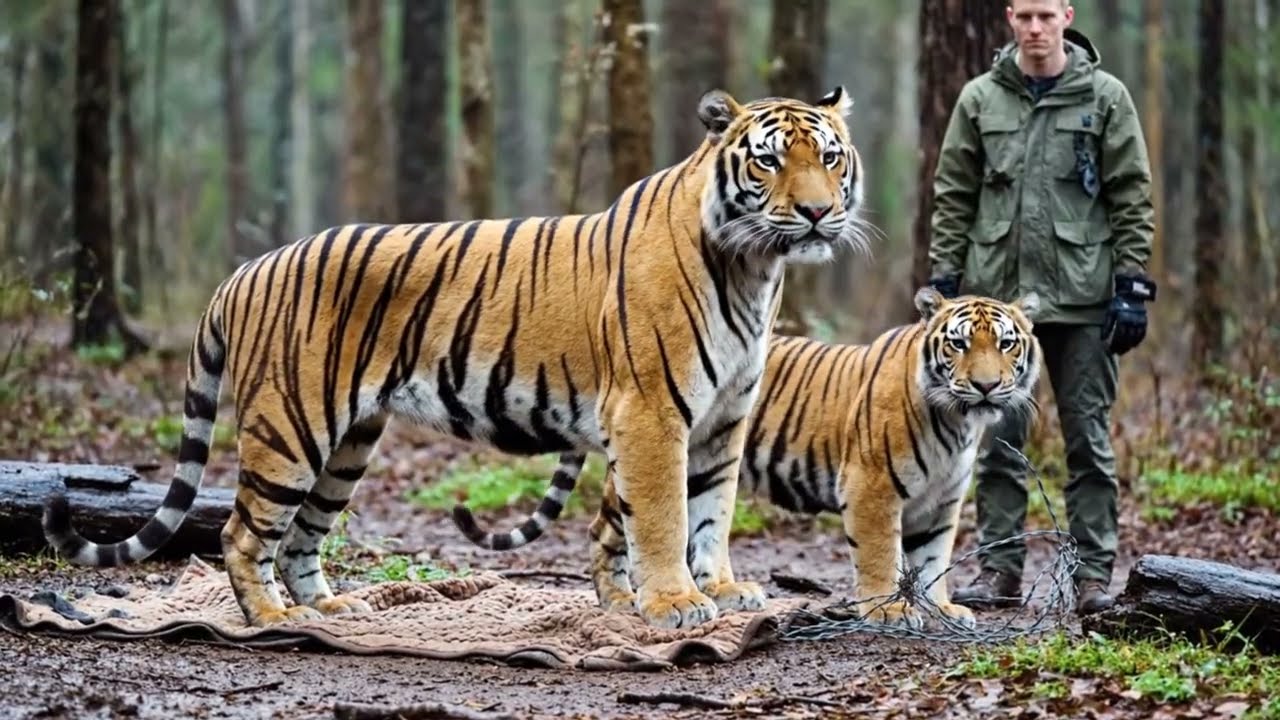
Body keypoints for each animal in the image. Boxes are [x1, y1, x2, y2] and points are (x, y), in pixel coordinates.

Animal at [42, 87, 870, 630]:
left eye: (831, 158)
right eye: (768, 163)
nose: (818, 212)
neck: (753, 268)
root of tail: (243, 271)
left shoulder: (723, 419)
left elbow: (712, 512)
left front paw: (723, 591)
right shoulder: (652, 413)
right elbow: (666, 516)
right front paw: (674, 604)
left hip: (349, 442)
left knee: (303, 534)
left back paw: (332, 609)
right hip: (291, 426)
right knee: (242, 533)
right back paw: (272, 620)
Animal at [452, 287, 1043, 628]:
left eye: (1006, 344)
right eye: (959, 344)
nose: (986, 386)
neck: (958, 421)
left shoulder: (942, 502)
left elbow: (932, 560)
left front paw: (941, 608)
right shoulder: (872, 487)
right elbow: (880, 558)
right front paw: (890, 611)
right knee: (606, 528)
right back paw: (619, 601)